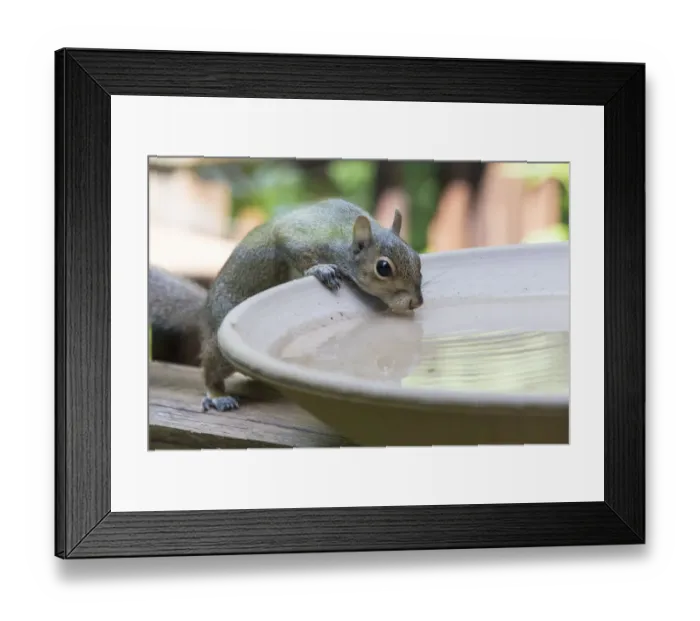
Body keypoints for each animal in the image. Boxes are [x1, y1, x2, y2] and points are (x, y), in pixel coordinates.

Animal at [198, 198, 424, 413]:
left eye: (416, 258)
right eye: (383, 268)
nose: (416, 302)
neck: (344, 240)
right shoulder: (302, 236)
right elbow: (289, 242)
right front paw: (321, 270)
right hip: (221, 344)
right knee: (211, 367)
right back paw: (218, 395)